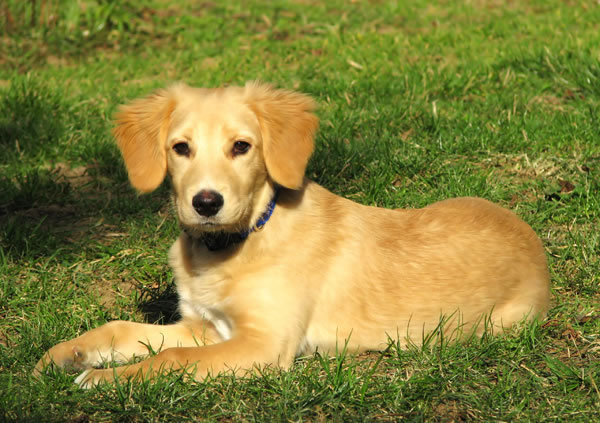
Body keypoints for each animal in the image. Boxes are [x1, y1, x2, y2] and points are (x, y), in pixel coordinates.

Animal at [34, 81, 548, 390]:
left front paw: (107, 380)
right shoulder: (202, 326)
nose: (206, 203)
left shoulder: (264, 344)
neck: (235, 245)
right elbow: (121, 329)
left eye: (241, 146)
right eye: (180, 148)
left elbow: (172, 358)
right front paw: (65, 355)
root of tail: (533, 242)